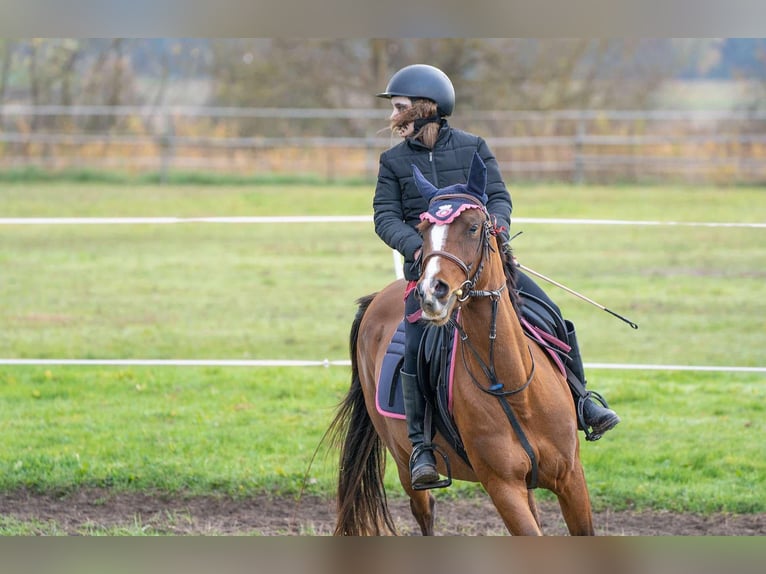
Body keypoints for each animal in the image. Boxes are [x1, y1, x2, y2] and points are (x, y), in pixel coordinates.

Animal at [328, 154, 596, 540]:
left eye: (473, 227)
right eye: (423, 231)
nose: (432, 291)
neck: (513, 386)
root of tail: (378, 297)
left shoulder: (570, 477)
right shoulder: (501, 486)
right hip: (406, 466)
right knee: (424, 513)